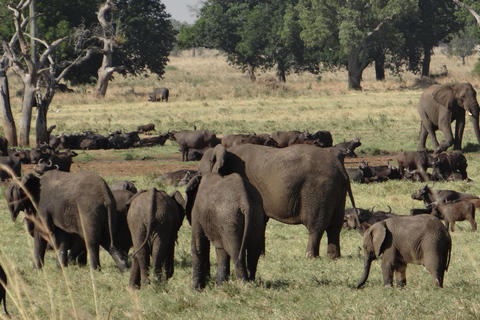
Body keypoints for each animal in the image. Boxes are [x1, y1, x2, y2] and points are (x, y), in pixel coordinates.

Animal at [196, 144, 356, 258]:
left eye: (199, 173)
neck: (227, 151)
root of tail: (341, 168)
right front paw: (261, 256)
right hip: (336, 190)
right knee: (335, 226)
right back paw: (333, 257)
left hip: (318, 189)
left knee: (316, 225)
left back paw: (310, 257)